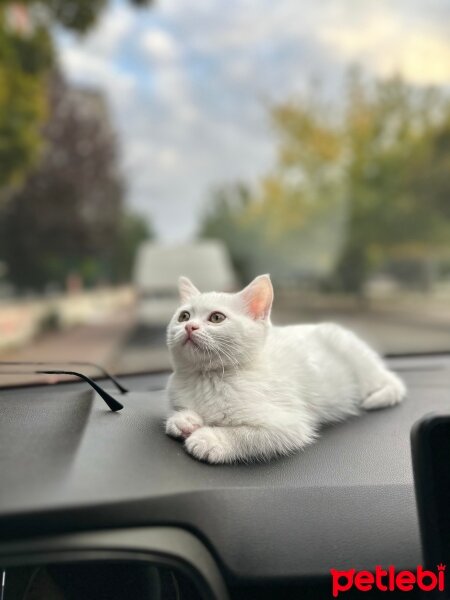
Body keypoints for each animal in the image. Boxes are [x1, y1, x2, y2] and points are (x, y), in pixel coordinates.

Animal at [164, 274, 404, 466]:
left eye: (216, 318)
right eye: (184, 316)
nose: (189, 327)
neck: (208, 377)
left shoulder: (290, 425)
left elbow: (246, 435)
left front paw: (208, 439)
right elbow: (179, 413)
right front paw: (183, 420)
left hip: (363, 370)